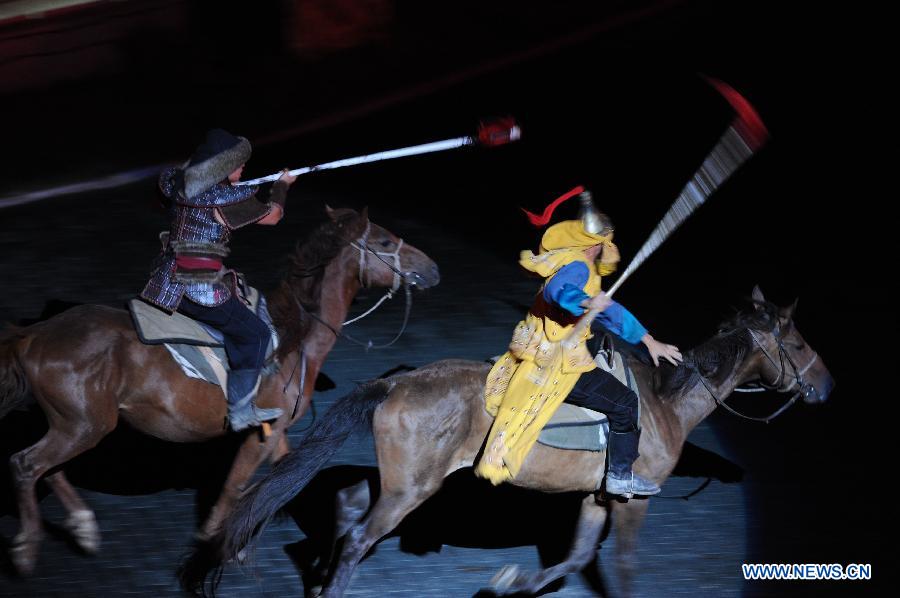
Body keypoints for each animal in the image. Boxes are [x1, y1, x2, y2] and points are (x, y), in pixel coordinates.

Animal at [0, 206, 440, 576]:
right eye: (385, 242)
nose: (432, 269)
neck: (294, 337)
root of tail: (34, 334)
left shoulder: (276, 433)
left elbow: (280, 476)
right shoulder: (260, 433)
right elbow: (236, 486)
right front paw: (215, 542)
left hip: (71, 424)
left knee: (47, 469)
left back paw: (82, 528)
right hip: (84, 426)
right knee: (26, 465)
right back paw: (26, 549)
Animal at [183, 286, 836, 596]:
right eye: (800, 343)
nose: (828, 386)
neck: (663, 403)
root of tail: (398, 383)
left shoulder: (596, 497)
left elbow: (572, 560)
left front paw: (511, 584)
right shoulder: (632, 501)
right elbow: (622, 568)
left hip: (404, 483)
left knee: (345, 509)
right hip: (410, 492)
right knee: (357, 540)